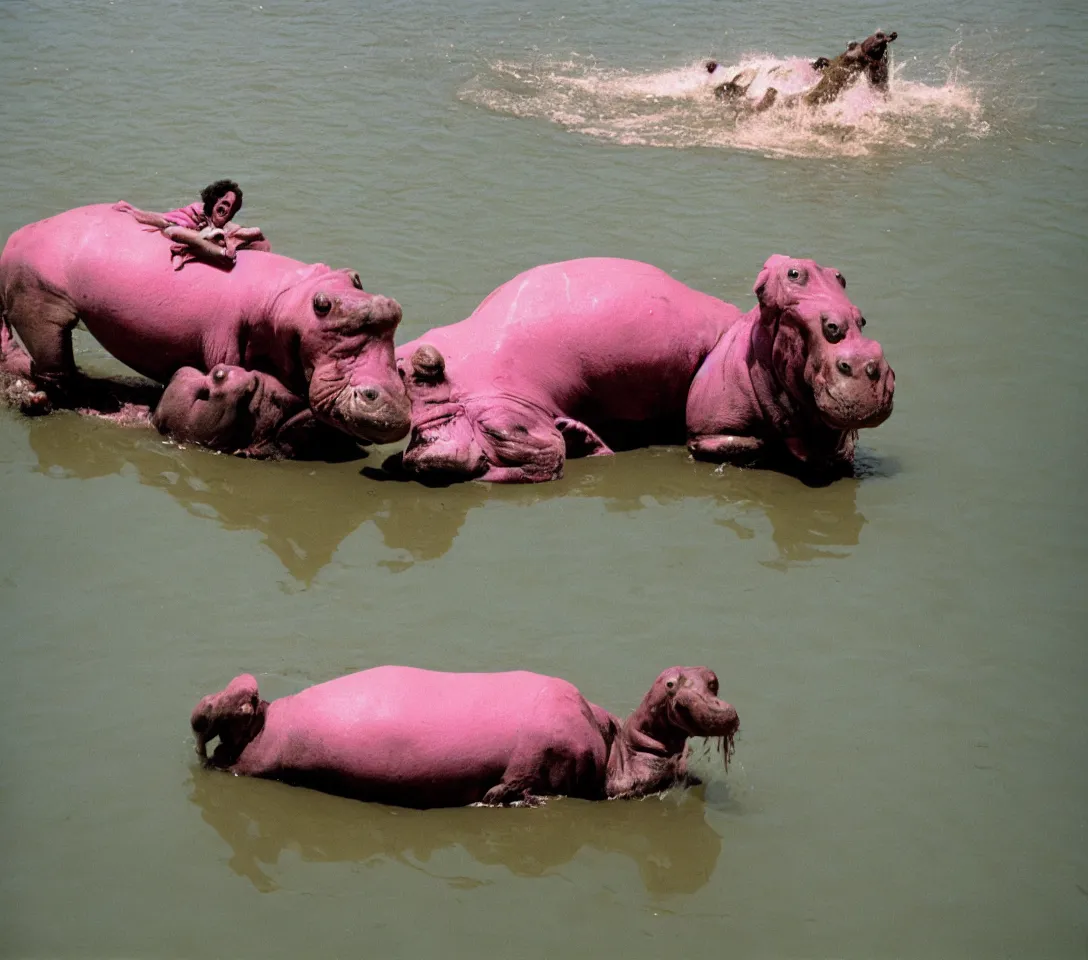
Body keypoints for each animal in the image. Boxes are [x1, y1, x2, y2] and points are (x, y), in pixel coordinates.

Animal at [0, 203, 411, 444]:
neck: (289, 298)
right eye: (323, 307)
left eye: (393, 310)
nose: (392, 407)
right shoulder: (224, 344)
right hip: (41, 303)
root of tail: (15, 236)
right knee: (54, 362)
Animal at [195, 661, 739, 805]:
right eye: (677, 686)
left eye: (713, 682)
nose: (729, 713)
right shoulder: (552, 745)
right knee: (237, 730)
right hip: (261, 747)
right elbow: (517, 777)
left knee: (240, 730)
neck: (620, 755)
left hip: (264, 743)